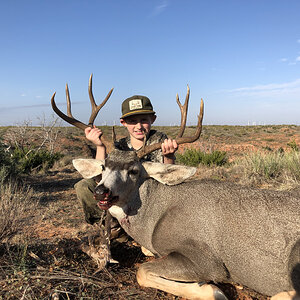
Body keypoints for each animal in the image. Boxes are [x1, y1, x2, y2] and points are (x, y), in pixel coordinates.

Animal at [51, 76, 300, 298]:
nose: (101, 191)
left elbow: (143, 271)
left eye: (134, 170)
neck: (155, 217)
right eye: (103, 166)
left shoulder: (206, 259)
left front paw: (212, 290)